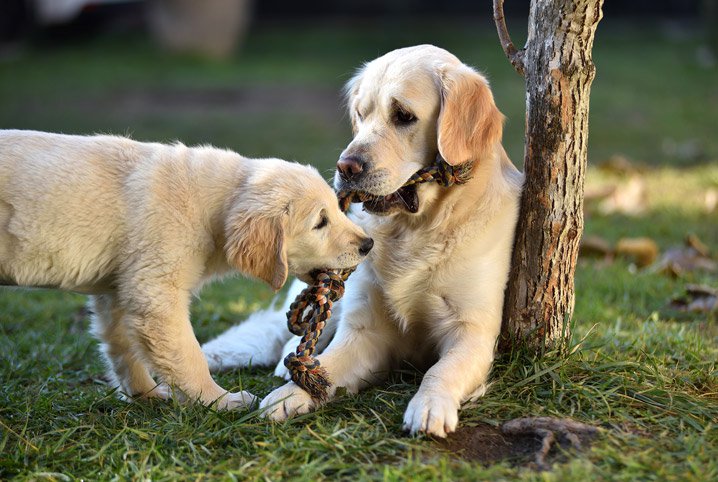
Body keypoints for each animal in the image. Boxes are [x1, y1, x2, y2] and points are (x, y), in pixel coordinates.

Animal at [0, 130, 372, 408]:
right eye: (320, 222)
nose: (368, 244)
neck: (211, 206)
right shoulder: (156, 293)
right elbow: (187, 356)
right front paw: (219, 400)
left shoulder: (119, 290)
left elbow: (122, 348)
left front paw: (146, 394)